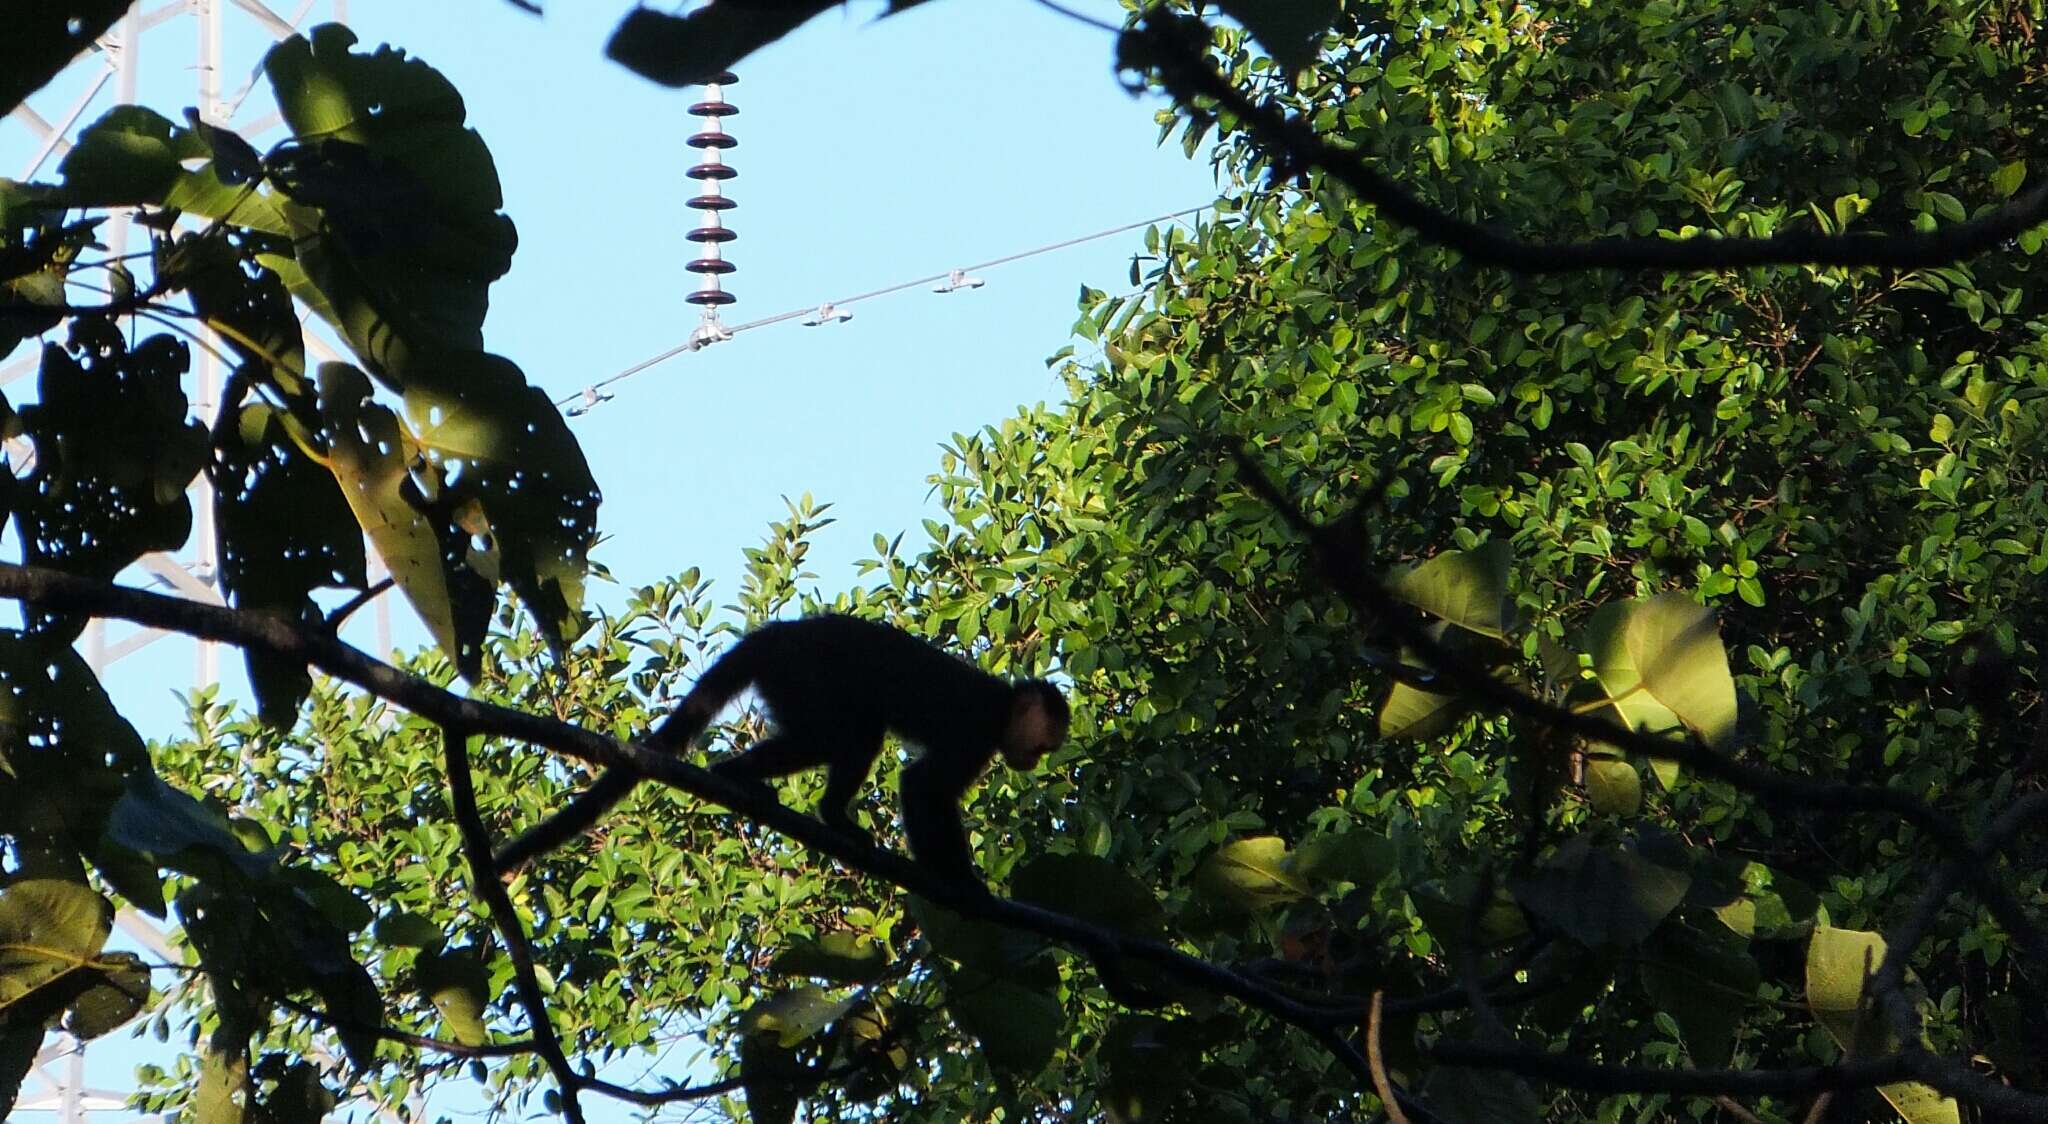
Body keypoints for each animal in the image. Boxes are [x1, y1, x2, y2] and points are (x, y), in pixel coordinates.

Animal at [495, 614, 1073, 884]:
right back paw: (787, 796)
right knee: (848, 734)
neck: (1002, 706)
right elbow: (921, 786)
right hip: (802, 673)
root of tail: (780, 633)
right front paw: (960, 883)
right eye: (1044, 745)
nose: (1032, 761)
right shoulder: (974, 733)